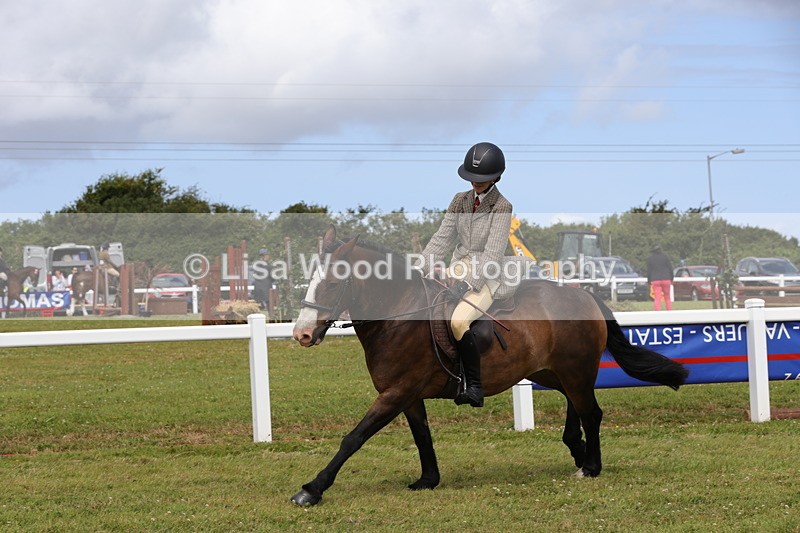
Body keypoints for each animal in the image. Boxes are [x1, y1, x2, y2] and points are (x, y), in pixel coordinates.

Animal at [289, 226, 689, 507]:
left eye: (333, 283)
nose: (302, 334)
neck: (399, 314)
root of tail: (584, 294)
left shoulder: (396, 392)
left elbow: (353, 438)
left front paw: (311, 489)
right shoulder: (407, 396)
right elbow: (422, 436)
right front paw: (428, 480)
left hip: (574, 370)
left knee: (591, 411)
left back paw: (590, 466)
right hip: (552, 372)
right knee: (578, 406)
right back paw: (578, 450)